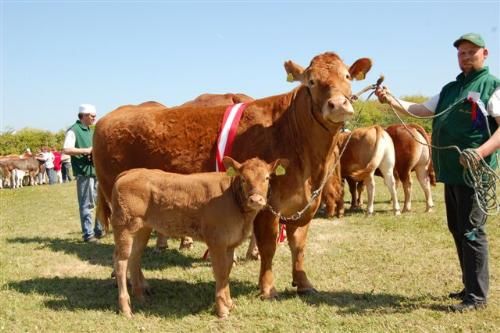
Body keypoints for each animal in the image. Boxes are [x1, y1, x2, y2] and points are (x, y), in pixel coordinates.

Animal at [95, 52, 374, 298]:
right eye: (311, 81)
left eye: (347, 75)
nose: (338, 104)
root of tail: (113, 115)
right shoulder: (267, 206)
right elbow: (269, 247)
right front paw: (267, 288)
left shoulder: (306, 205)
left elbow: (299, 245)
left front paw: (303, 282)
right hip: (121, 207)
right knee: (125, 249)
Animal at [111, 156, 288, 316]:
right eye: (243, 179)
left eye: (267, 178)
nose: (256, 200)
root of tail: (131, 172)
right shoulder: (216, 242)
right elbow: (220, 272)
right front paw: (222, 309)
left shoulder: (230, 244)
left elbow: (226, 272)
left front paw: (229, 304)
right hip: (125, 227)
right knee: (121, 262)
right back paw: (125, 308)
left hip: (142, 228)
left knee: (134, 256)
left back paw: (140, 296)